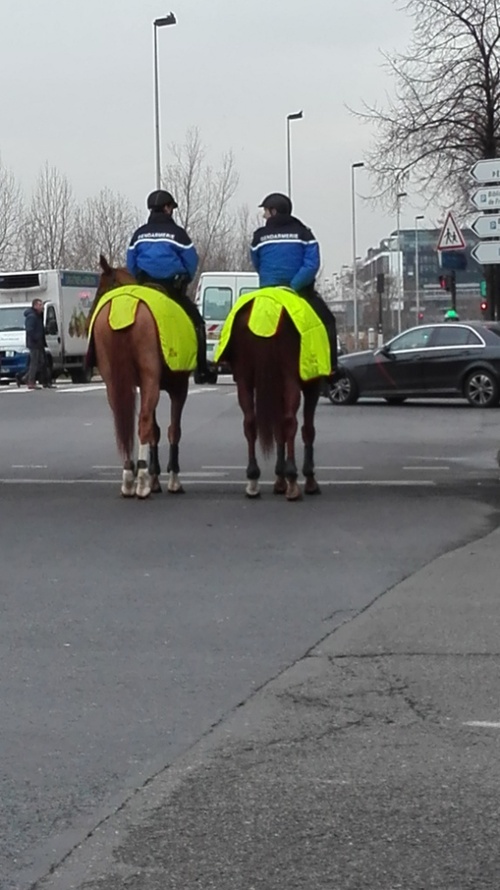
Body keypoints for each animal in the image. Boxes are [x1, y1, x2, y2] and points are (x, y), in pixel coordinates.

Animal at [89, 253, 190, 496]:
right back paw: (142, 481)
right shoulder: (178, 388)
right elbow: (172, 430)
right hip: (151, 378)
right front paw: (170, 479)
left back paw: (129, 476)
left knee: (123, 421)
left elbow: (156, 430)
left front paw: (155, 478)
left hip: (115, 383)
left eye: (99, 290)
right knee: (143, 422)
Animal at [227, 304, 320, 500]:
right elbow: (307, 429)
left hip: (244, 379)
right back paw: (293, 481)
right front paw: (308, 479)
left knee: (250, 422)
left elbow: (278, 431)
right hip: (290, 377)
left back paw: (253, 480)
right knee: (291, 422)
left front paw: (279, 479)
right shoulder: (313, 385)